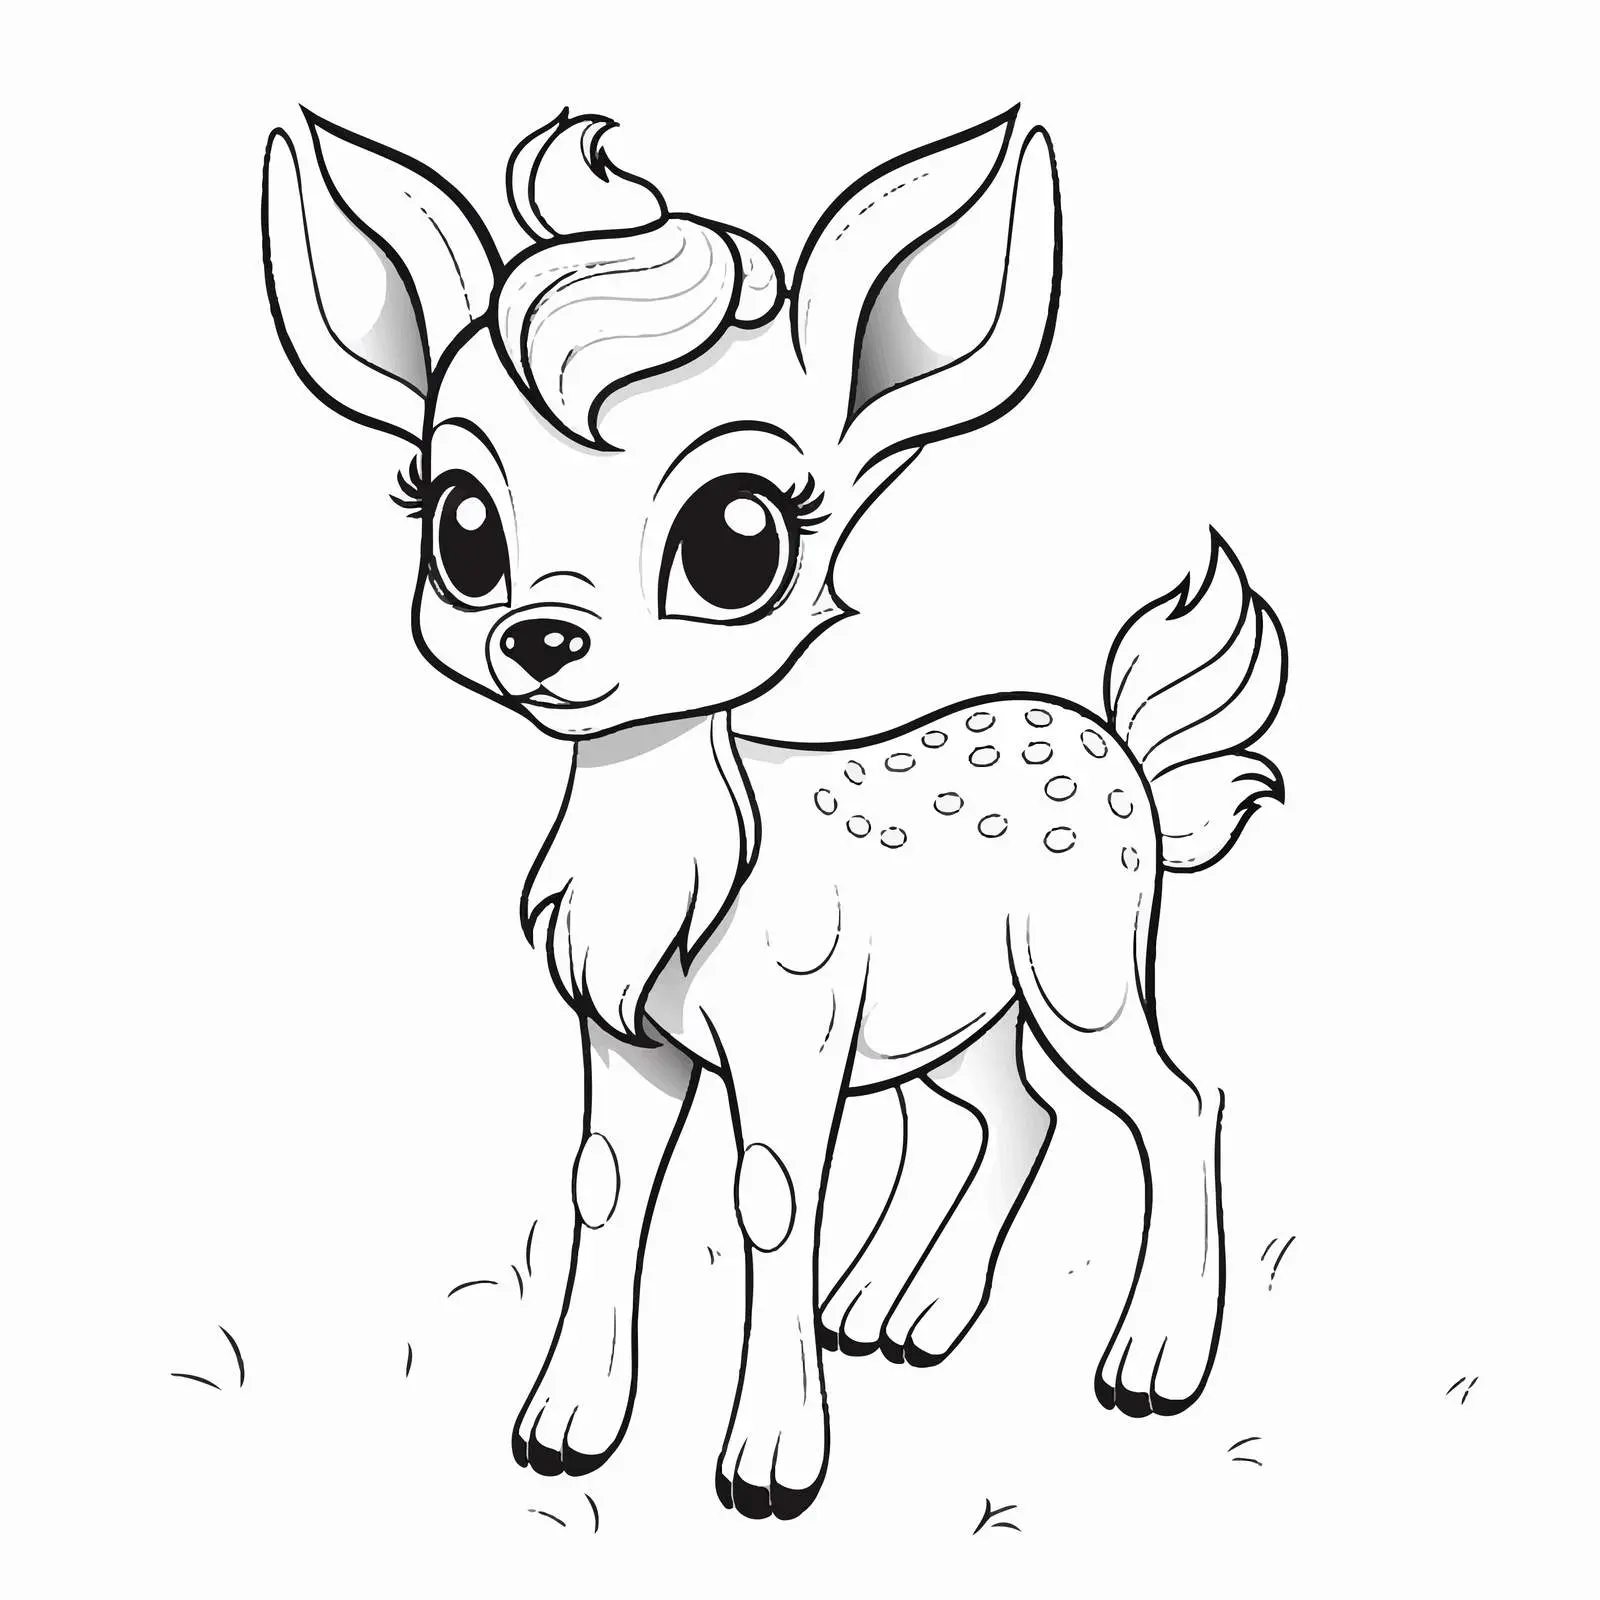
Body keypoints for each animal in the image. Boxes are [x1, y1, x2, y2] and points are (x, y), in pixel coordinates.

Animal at [260, 104, 1286, 1520]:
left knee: (1176, 1100)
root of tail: (1117, 740)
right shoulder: (624, 1030)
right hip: (951, 1008)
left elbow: (769, 1199)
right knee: (1010, 1111)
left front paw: (769, 1466)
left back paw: (1148, 1364)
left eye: (736, 537)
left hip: (1080, 966)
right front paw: (565, 1427)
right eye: (462, 525)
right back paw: (895, 1317)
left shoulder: (792, 1031)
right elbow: (603, 1187)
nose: (542, 637)